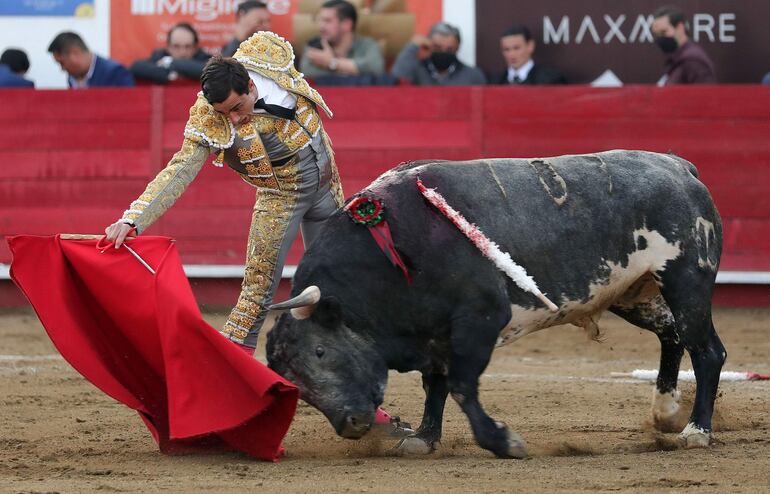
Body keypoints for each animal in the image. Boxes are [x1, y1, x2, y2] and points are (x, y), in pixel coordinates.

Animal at [266, 151, 728, 460]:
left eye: (320, 351)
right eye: (291, 379)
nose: (351, 426)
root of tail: (678, 167)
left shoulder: (480, 320)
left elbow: (460, 385)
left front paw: (503, 441)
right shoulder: (433, 331)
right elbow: (435, 384)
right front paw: (423, 438)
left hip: (687, 279)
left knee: (707, 351)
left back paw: (695, 430)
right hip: (633, 292)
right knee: (673, 335)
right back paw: (665, 413)